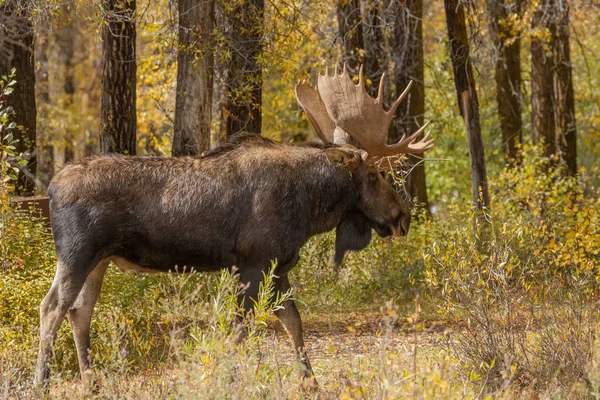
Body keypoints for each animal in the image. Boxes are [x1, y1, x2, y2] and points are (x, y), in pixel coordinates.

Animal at [35, 65, 434, 390]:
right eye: (374, 174)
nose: (403, 216)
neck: (309, 205)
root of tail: (51, 188)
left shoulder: (279, 266)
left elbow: (293, 320)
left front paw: (311, 382)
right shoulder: (253, 263)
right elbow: (241, 329)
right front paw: (223, 377)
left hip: (99, 260)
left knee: (79, 311)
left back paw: (91, 384)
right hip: (77, 253)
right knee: (52, 307)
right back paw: (42, 382)